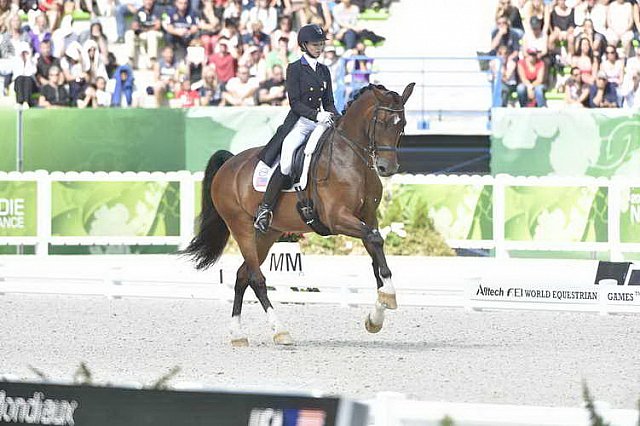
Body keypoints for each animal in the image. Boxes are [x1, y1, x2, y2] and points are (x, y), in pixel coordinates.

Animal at [182, 82, 418, 346]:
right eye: (382, 122)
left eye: (402, 124)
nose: (388, 168)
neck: (350, 157)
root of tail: (229, 163)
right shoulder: (337, 218)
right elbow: (375, 241)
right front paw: (388, 296)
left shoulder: (368, 217)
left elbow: (375, 250)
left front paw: (377, 315)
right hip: (240, 227)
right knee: (256, 278)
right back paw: (280, 331)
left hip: (267, 234)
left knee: (243, 275)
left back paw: (238, 334)